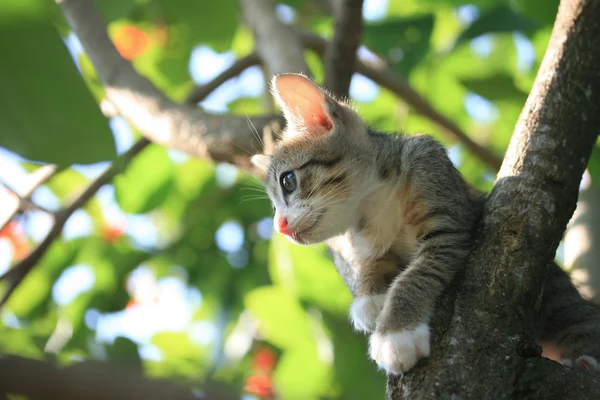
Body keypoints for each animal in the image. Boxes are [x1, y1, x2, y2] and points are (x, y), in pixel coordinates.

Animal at [251, 72, 600, 376]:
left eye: (288, 181)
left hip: (562, 301)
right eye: (273, 204)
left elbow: (416, 276)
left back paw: (584, 360)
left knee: (581, 319)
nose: (280, 225)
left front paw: (396, 334)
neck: (376, 203)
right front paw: (370, 297)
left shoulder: (440, 199)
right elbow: (375, 263)